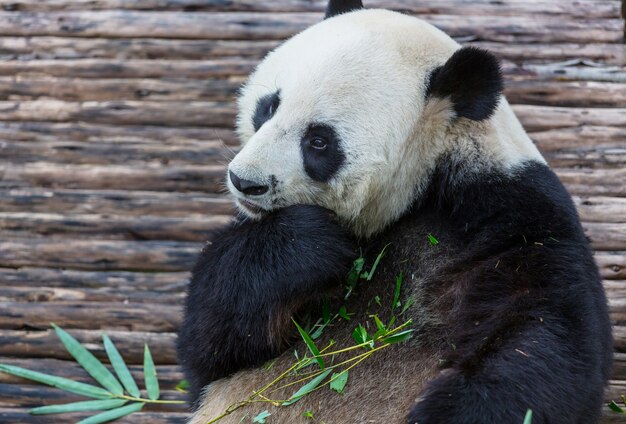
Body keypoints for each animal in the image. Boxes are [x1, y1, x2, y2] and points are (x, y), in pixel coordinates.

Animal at [176, 1, 608, 422]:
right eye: (267, 108)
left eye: (319, 141)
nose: (245, 181)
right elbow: (210, 348)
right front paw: (308, 243)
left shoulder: (513, 216)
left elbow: (544, 342)